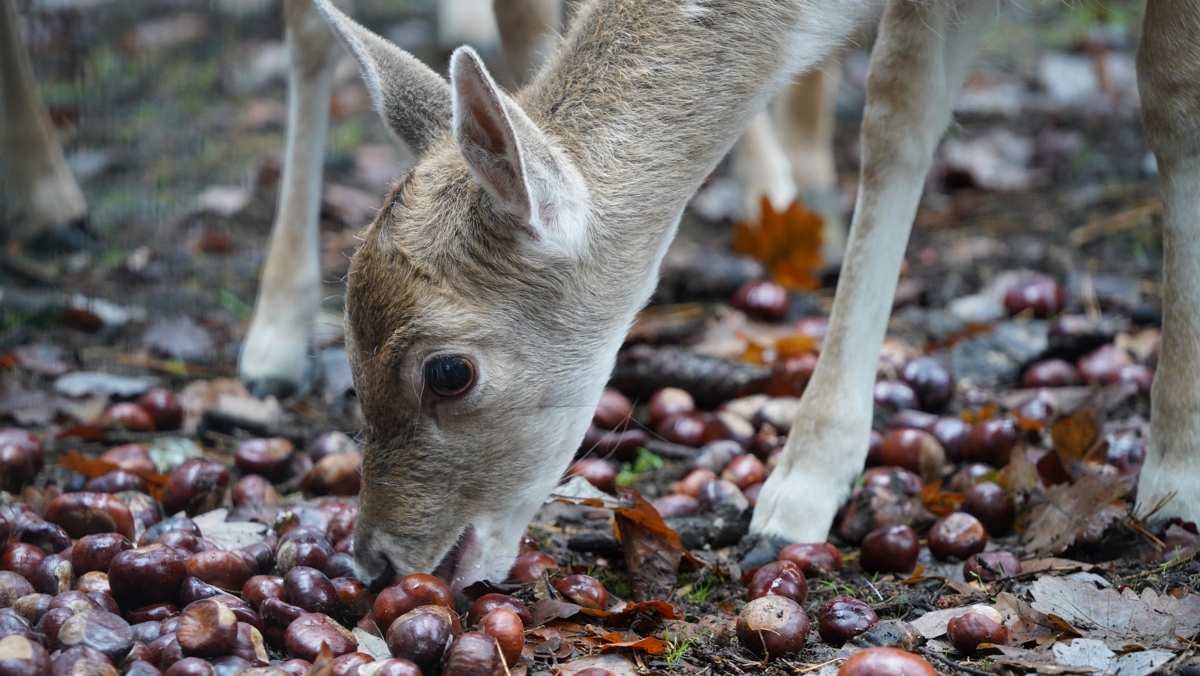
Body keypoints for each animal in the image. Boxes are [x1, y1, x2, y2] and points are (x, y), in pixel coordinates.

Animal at [305, 0, 1200, 592]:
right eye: (343, 345)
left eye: (448, 372)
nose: (376, 562)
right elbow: (898, 112)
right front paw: (801, 490)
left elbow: (1173, 100)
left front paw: (1176, 475)